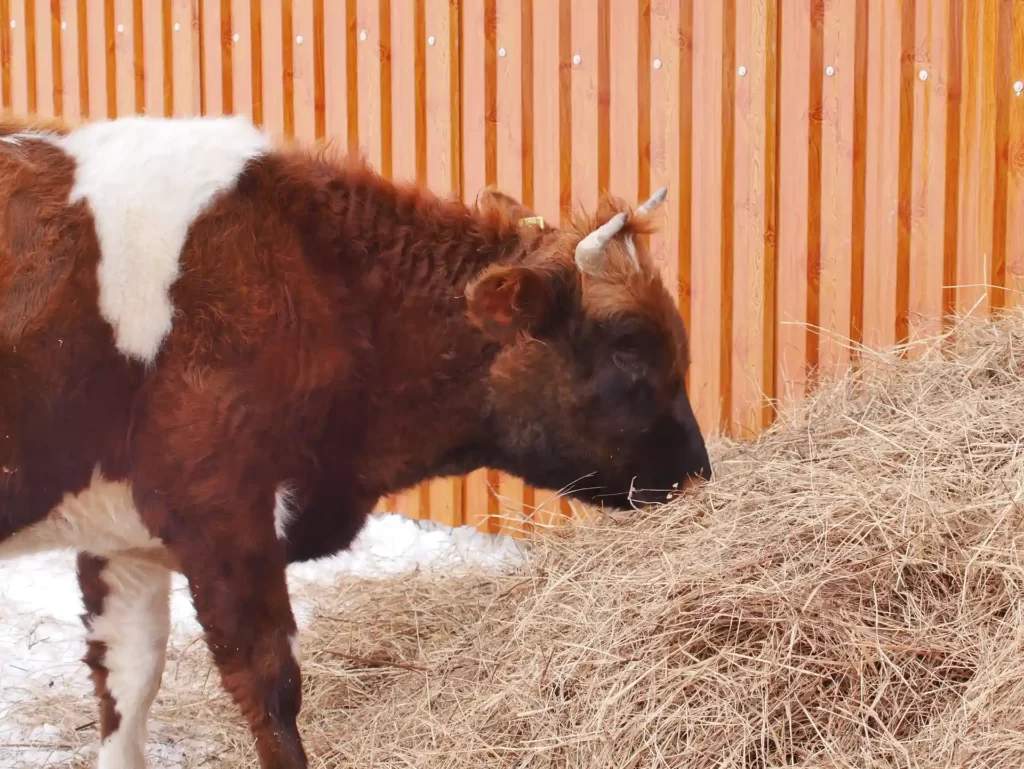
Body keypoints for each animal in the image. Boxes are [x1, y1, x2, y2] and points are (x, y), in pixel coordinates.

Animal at [0, 113, 711, 769]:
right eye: (628, 345)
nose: (698, 470)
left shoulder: (121, 536)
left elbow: (127, 685)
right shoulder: (224, 516)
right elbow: (270, 688)